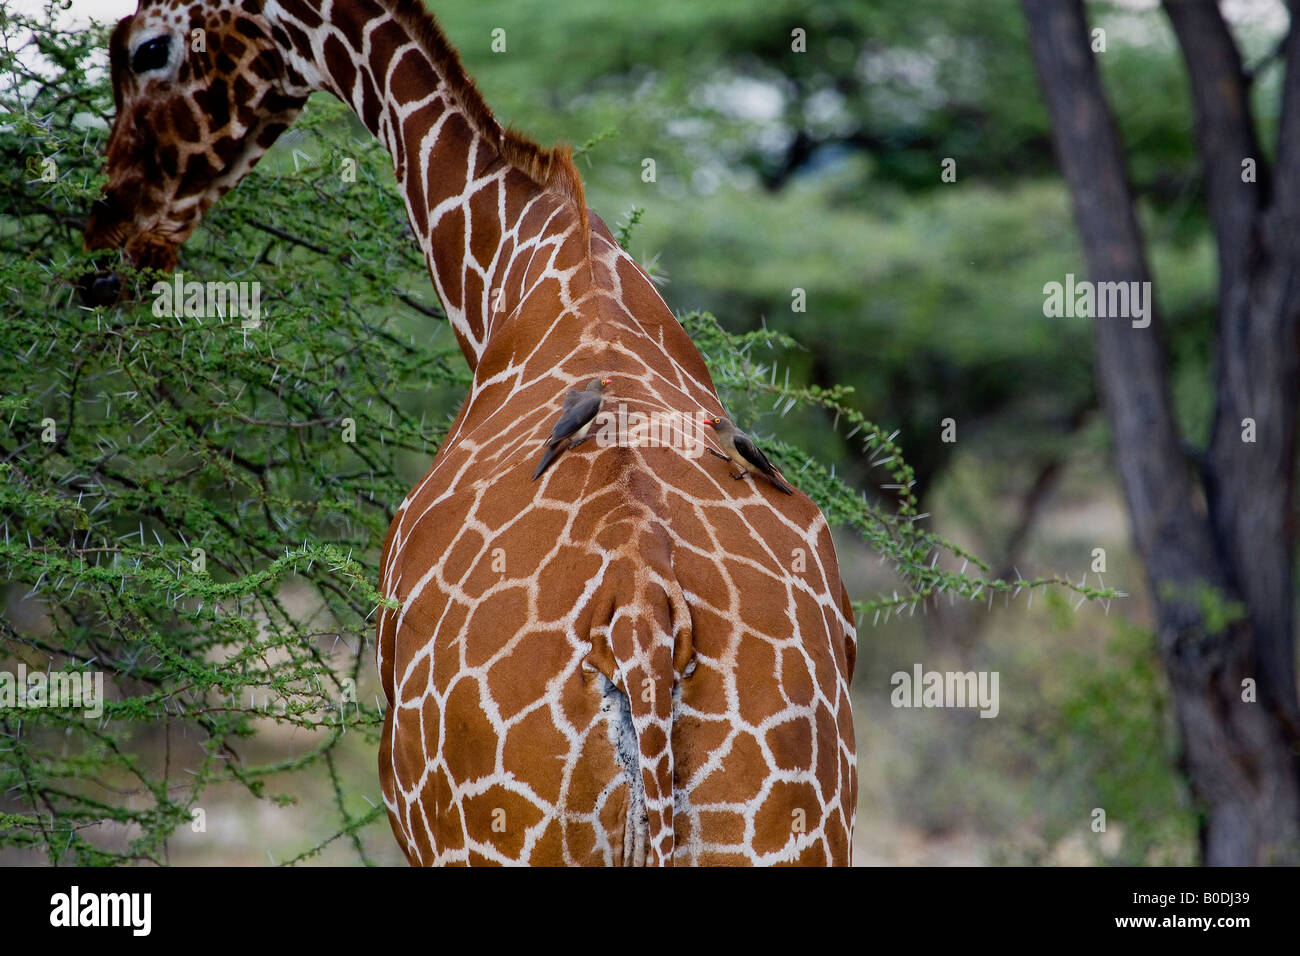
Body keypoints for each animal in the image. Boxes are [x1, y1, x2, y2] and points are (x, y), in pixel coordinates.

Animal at [83, 0, 858, 866]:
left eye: (147, 50)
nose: (103, 248)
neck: (517, 271)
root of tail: (643, 625)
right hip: (784, 833)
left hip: (487, 838)